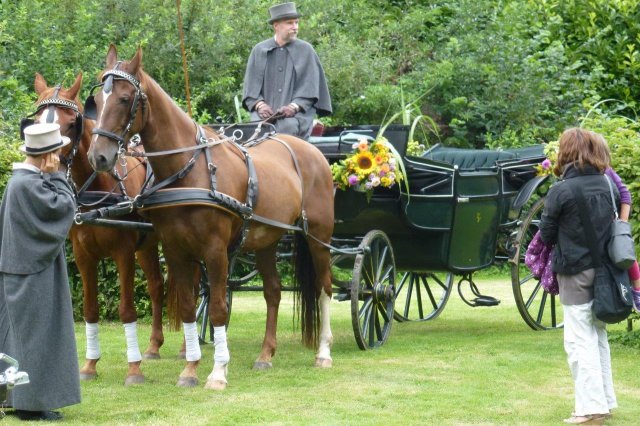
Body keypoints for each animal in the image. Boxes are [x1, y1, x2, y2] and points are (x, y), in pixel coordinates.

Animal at [29, 72, 165, 386]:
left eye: (71, 123)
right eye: (37, 121)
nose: (48, 168)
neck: (97, 192)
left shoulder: (123, 254)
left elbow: (127, 309)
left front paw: (134, 369)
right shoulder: (83, 256)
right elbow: (90, 310)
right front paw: (89, 365)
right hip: (147, 246)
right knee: (156, 286)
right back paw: (154, 346)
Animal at [85, 45, 336, 390]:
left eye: (124, 99)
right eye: (97, 100)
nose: (98, 157)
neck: (188, 170)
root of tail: (312, 152)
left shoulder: (216, 251)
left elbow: (217, 308)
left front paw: (217, 372)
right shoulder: (176, 250)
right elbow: (189, 308)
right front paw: (190, 369)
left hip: (318, 238)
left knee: (325, 288)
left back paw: (324, 352)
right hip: (266, 241)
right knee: (272, 292)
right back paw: (265, 354)